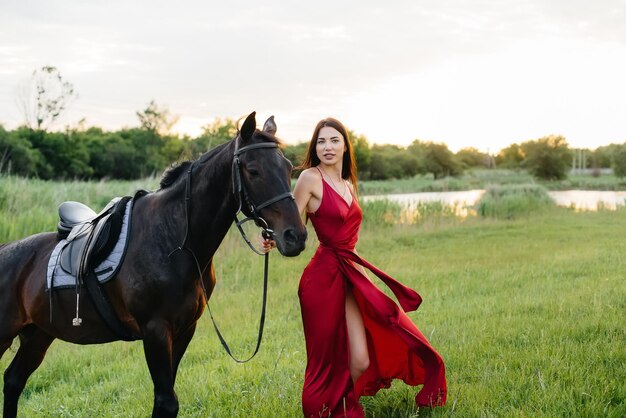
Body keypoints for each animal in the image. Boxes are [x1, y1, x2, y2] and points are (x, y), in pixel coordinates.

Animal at [0, 112, 304, 418]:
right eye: (253, 170)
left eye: (289, 167)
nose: (295, 236)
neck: (172, 242)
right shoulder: (155, 331)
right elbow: (166, 401)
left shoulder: (185, 329)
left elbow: (166, 397)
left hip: (38, 335)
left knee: (14, 380)